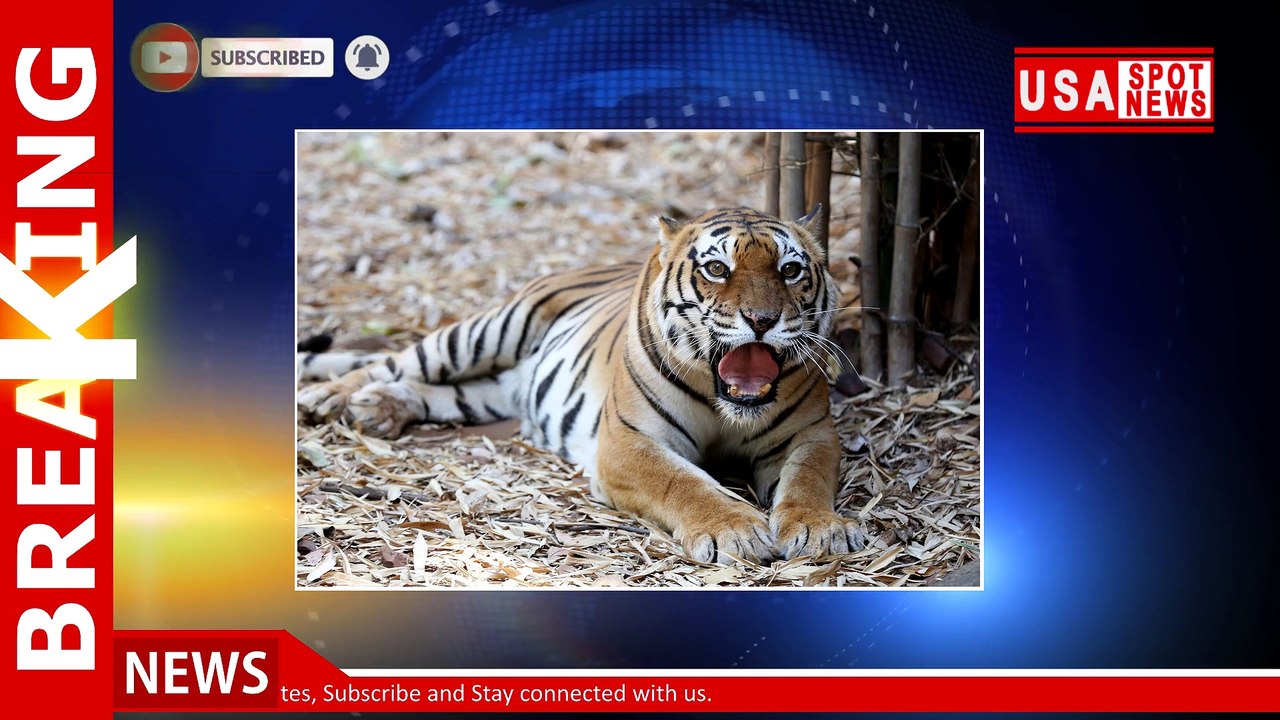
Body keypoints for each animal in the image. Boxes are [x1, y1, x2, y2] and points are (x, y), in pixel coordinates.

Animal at [298, 205, 864, 564]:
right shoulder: (627, 442)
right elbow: (682, 482)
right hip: (486, 331)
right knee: (395, 361)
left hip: (492, 391)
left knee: (437, 391)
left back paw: (378, 408)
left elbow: (808, 478)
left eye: (790, 270)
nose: (763, 320)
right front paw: (737, 531)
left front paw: (821, 530)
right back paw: (329, 397)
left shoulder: (811, 432)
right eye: (717, 268)